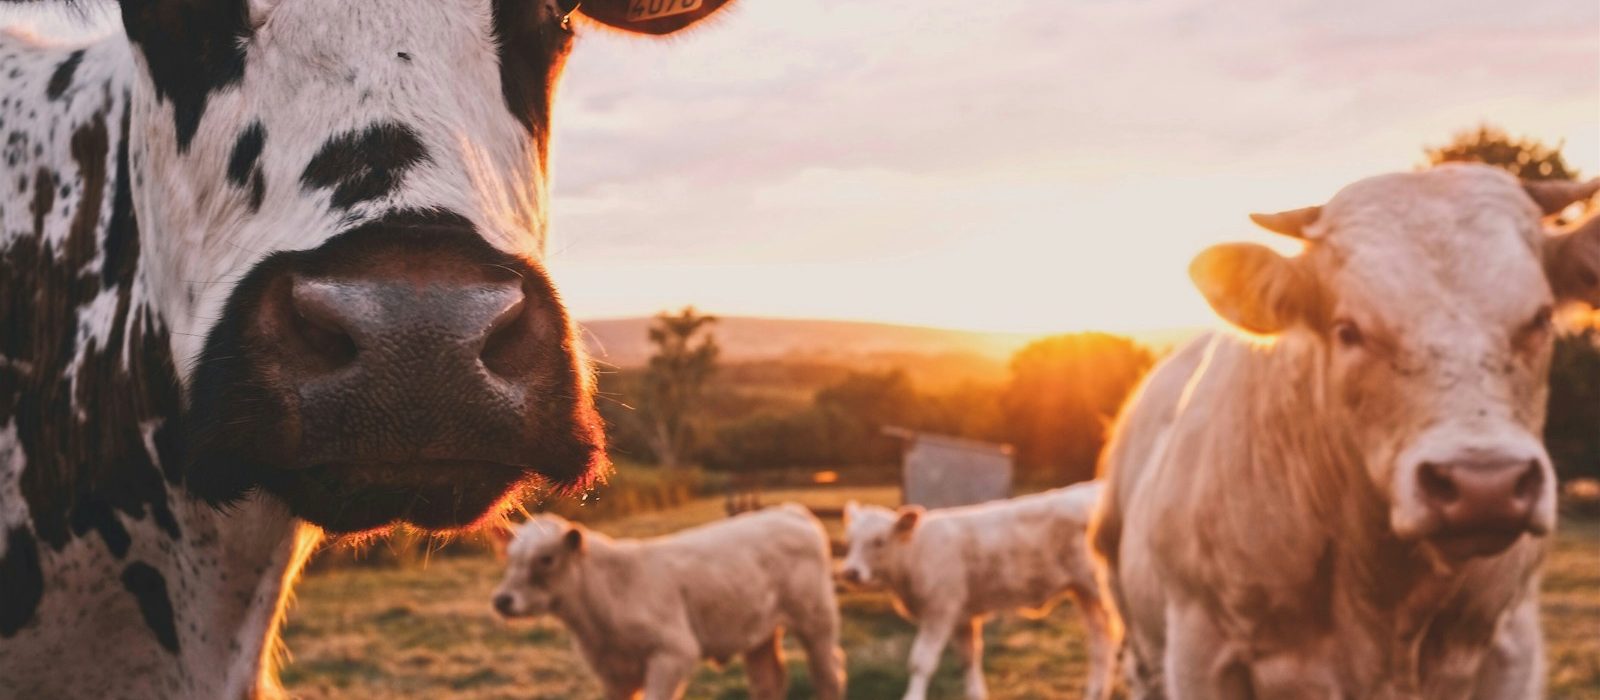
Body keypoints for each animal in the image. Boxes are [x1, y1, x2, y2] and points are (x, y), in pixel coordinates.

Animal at [492, 505, 851, 700]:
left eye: (546, 558)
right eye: (510, 556)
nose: (502, 600)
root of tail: (789, 511)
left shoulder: (673, 652)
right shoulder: (612, 673)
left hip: (817, 621)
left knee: (829, 672)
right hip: (759, 633)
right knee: (769, 681)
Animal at [838, 482, 1113, 700]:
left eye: (879, 541)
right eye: (849, 541)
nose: (851, 572)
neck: (916, 552)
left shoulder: (940, 610)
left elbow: (921, 662)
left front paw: (912, 696)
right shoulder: (962, 616)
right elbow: (969, 659)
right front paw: (976, 693)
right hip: (1084, 592)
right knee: (1100, 642)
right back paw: (1096, 692)